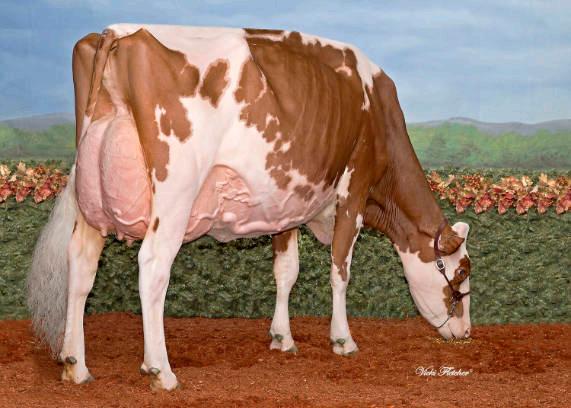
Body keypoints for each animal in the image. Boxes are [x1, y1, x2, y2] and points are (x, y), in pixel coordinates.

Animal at [28, 24, 472, 391]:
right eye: (462, 273)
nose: (466, 333)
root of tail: (116, 32)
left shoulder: (287, 203)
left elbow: (286, 271)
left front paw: (282, 338)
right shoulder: (354, 190)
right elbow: (340, 270)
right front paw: (343, 340)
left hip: (90, 200)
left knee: (80, 264)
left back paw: (75, 364)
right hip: (175, 191)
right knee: (153, 267)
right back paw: (161, 371)